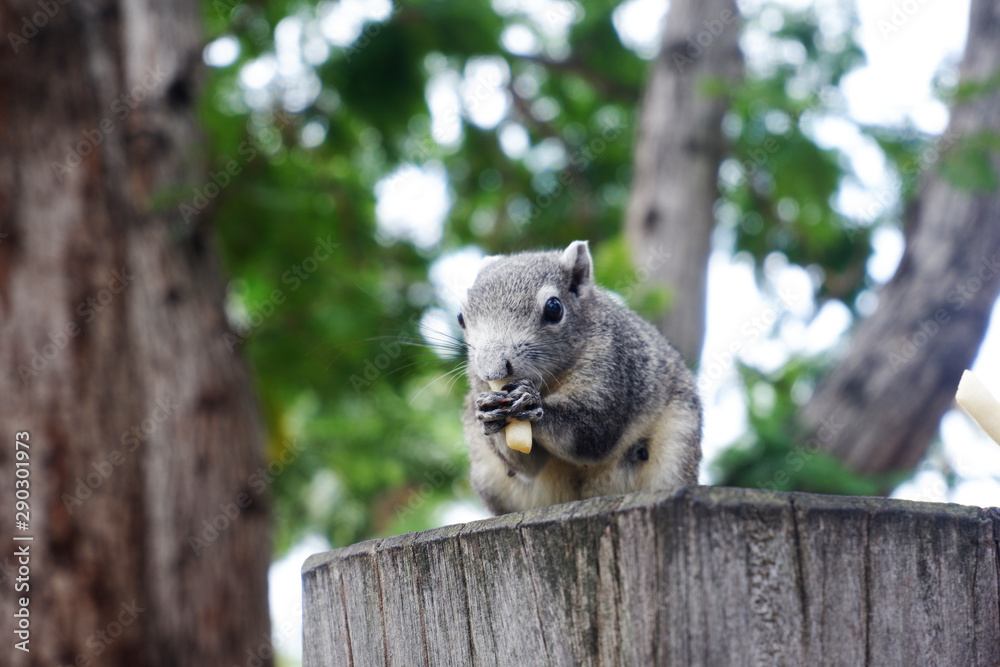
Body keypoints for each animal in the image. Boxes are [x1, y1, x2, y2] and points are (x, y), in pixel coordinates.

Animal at [458, 240, 702, 515]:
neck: (548, 380)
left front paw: (534, 405)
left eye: (554, 308)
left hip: (678, 442)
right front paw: (488, 412)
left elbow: (592, 433)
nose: (493, 370)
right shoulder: (478, 382)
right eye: (461, 318)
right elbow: (527, 465)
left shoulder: (615, 369)